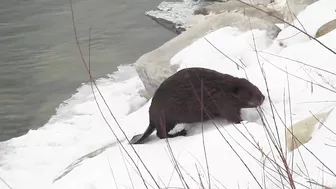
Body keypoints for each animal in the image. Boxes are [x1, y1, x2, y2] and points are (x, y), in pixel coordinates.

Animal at [130, 67, 264, 144]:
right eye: (250, 93)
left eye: (255, 87)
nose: (263, 97)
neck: (222, 89)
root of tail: (151, 119)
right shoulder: (222, 103)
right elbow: (232, 117)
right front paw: (244, 122)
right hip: (166, 118)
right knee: (160, 134)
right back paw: (181, 133)